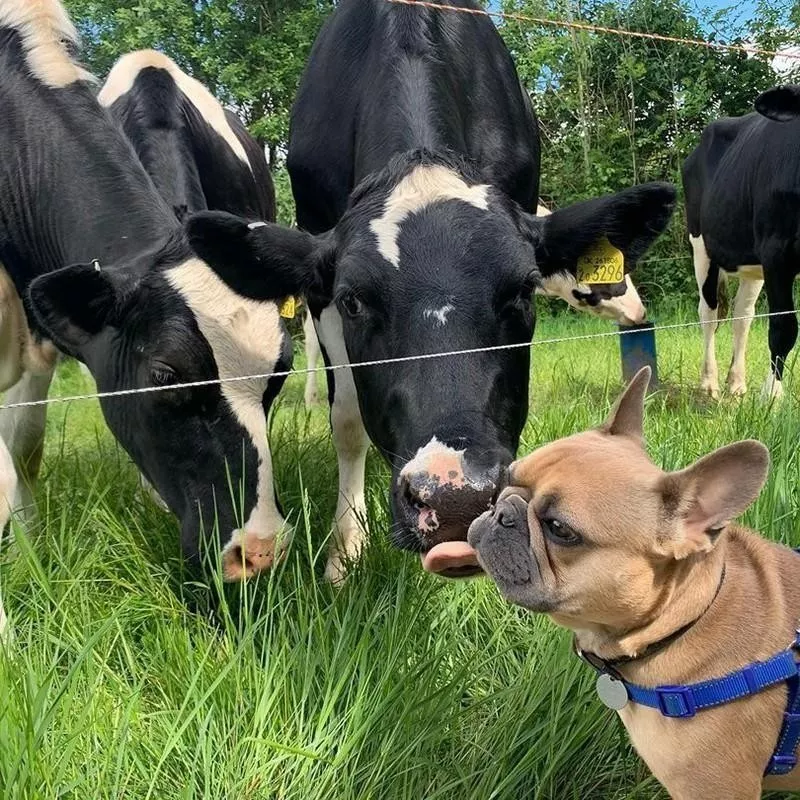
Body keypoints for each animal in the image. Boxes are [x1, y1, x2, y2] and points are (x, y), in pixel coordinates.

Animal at [188, 0, 676, 580]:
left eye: (523, 290)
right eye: (354, 300)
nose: (456, 499)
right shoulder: (320, 281)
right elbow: (347, 418)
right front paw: (345, 553)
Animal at [680, 84, 800, 400]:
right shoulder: (777, 252)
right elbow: (783, 325)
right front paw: (772, 396)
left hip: (752, 265)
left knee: (741, 316)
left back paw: (736, 383)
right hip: (701, 246)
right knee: (709, 312)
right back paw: (709, 382)